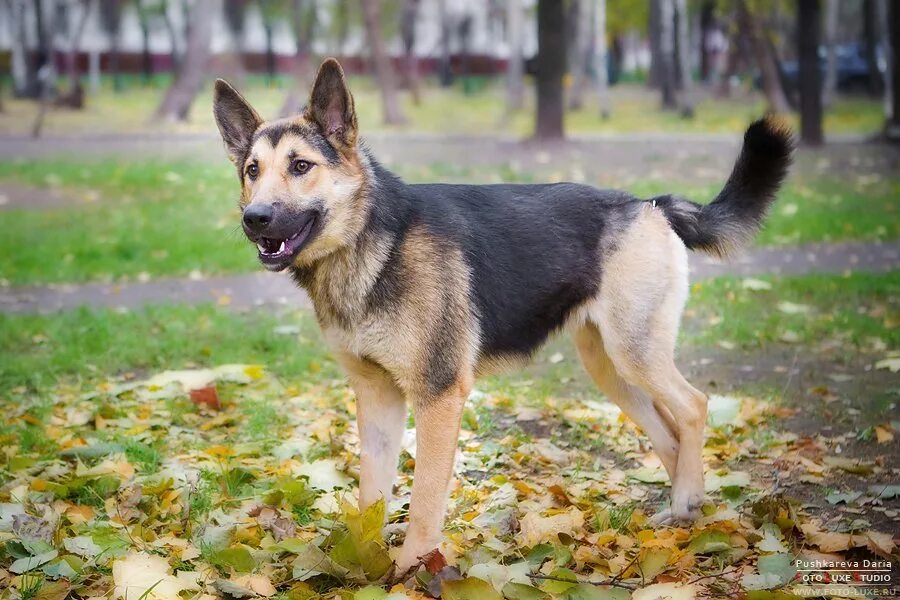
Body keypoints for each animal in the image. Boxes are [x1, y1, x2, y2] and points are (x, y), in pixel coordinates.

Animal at [214, 58, 792, 580]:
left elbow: (424, 500)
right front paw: (363, 564)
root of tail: (649, 205)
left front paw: (411, 571)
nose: (254, 219)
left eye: (301, 166)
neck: (371, 243)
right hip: (610, 369)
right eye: (251, 171)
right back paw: (682, 516)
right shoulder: (377, 400)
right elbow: (370, 496)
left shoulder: (438, 398)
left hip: (635, 354)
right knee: (669, 433)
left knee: (693, 408)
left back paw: (689, 500)